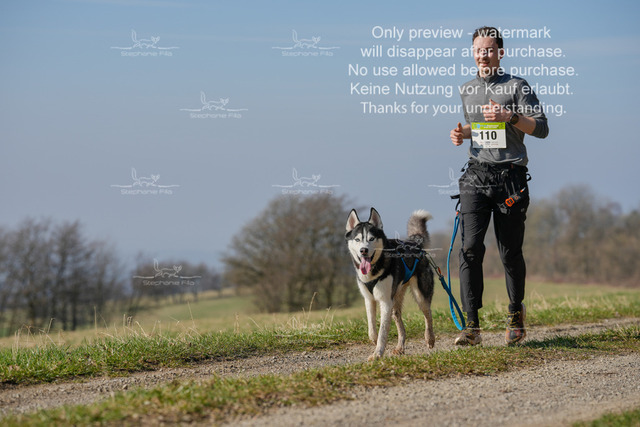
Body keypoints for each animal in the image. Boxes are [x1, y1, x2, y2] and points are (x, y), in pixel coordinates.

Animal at [345, 208, 435, 360]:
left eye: (371, 239)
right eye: (357, 239)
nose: (363, 250)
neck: (373, 271)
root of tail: (415, 244)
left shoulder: (385, 301)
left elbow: (383, 331)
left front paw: (377, 353)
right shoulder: (369, 299)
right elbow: (371, 327)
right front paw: (374, 342)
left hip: (420, 296)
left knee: (428, 315)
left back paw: (430, 339)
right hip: (395, 301)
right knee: (401, 326)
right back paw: (400, 348)